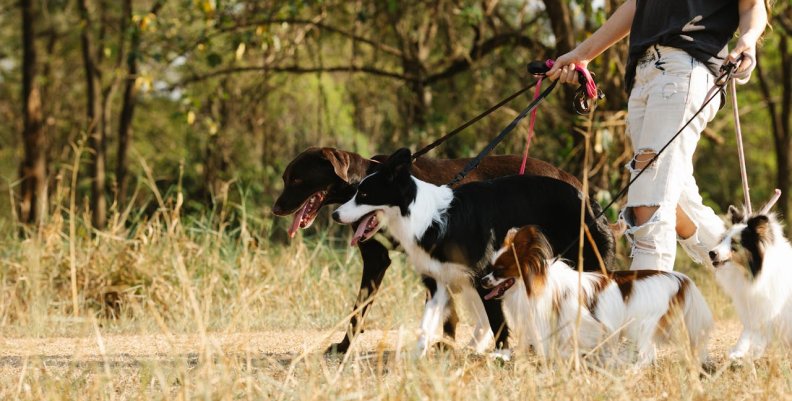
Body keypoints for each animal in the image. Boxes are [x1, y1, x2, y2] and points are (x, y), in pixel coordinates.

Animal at [276, 147, 584, 354]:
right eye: (285, 178)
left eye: (297, 180)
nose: (276, 209)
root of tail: (570, 179)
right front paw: (445, 343)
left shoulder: (382, 261)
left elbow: (358, 310)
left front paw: (344, 347)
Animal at [480, 225, 716, 366]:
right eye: (490, 268)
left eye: (499, 271)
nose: (483, 281)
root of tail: (679, 279)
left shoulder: (589, 324)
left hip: (643, 324)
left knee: (647, 352)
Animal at [708, 206, 792, 360]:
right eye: (722, 239)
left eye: (734, 243)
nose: (711, 253)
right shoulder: (753, 309)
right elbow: (748, 332)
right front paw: (738, 351)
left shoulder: (768, 309)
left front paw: (753, 352)